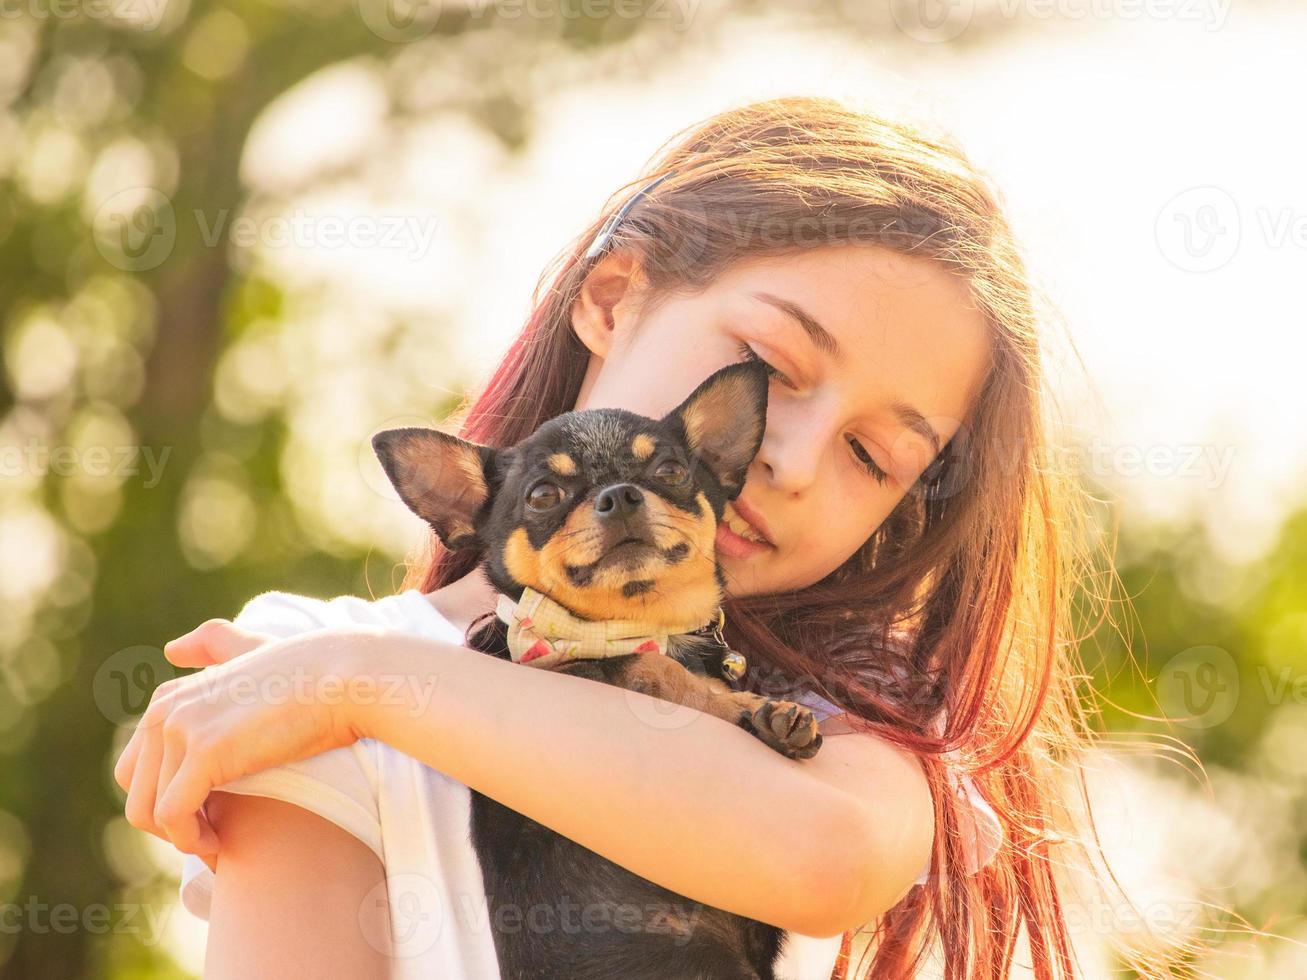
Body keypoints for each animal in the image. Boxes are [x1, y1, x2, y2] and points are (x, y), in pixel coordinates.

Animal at [371, 363, 815, 980]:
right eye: (543, 496)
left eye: (671, 471)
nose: (619, 496)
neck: (643, 622)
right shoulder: (576, 671)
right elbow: (654, 669)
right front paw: (749, 708)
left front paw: (769, 715)